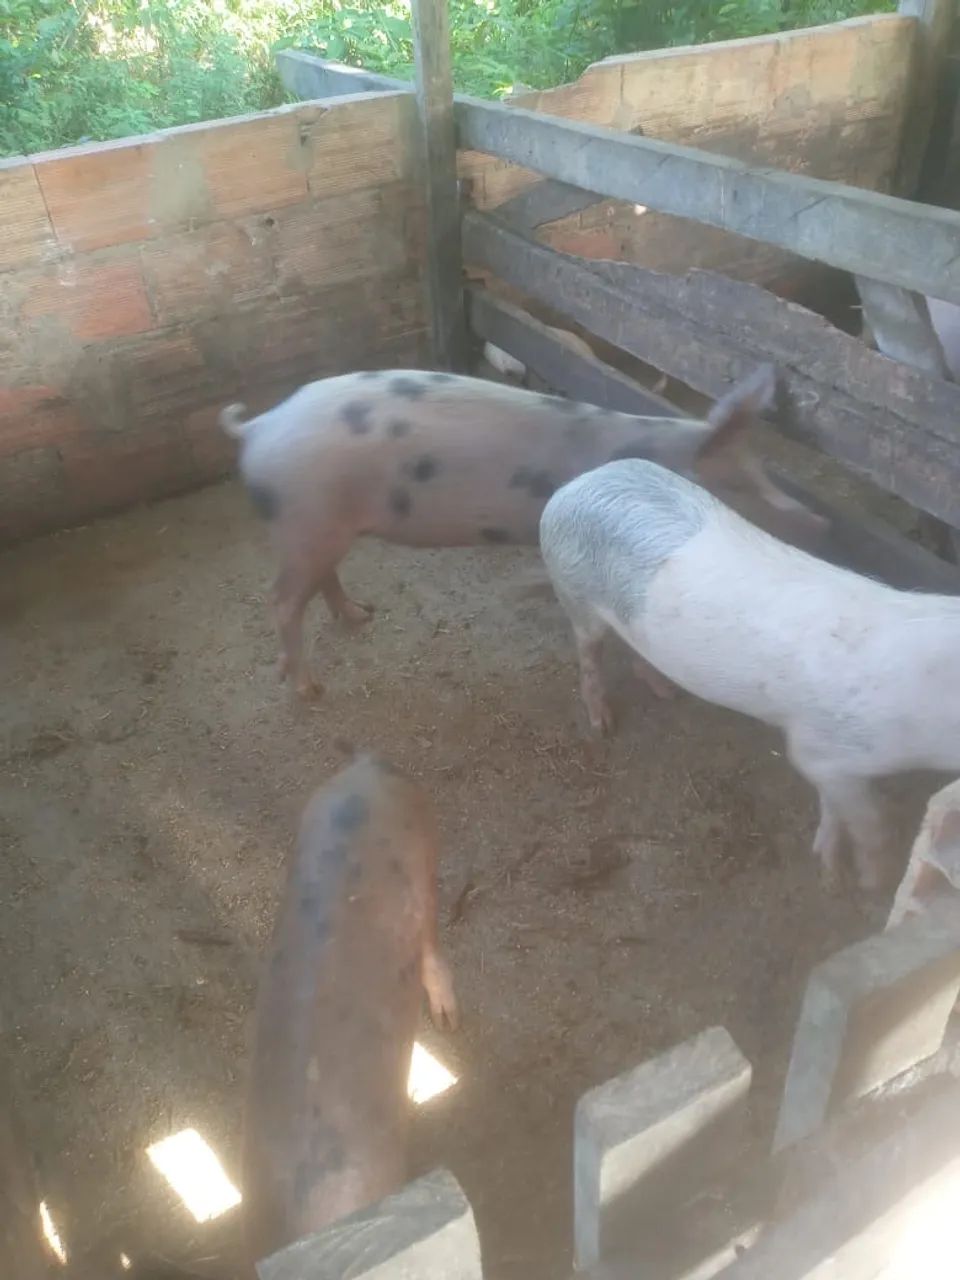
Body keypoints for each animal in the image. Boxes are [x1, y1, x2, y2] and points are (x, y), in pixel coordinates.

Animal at [221, 365, 825, 697]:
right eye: (739, 488)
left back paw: (362, 615)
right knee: (280, 601)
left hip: (324, 529)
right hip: (303, 523)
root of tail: (259, 427)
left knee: (323, 581)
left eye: (764, 472)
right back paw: (308, 687)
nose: (819, 522)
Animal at [539, 458, 960, 892]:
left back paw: (665, 692)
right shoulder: (818, 747)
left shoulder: (832, 762)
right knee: (589, 655)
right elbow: (870, 823)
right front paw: (868, 881)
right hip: (575, 595)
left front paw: (829, 867)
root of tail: (576, 484)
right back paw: (602, 724)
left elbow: (835, 808)